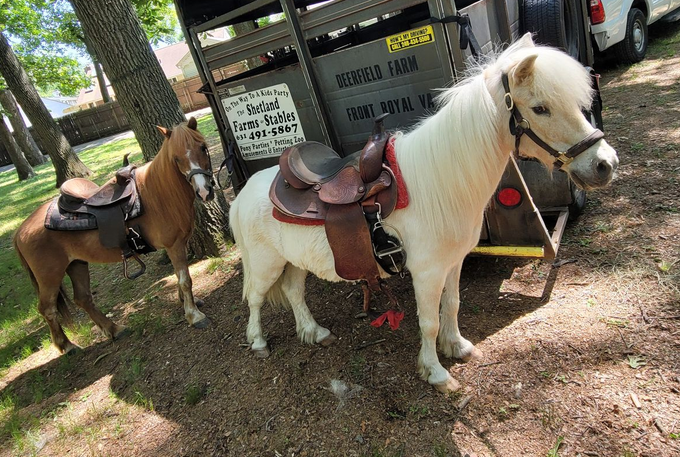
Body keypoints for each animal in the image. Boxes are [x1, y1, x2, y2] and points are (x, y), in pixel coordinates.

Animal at [13, 117, 215, 354]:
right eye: (176, 158)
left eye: (203, 148)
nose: (204, 192)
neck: (158, 195)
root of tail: (21, 230)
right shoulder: (173, 245)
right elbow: (185, 279)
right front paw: (194, 315)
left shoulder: (178, 245)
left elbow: (179, 275)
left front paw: (186, 303)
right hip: (50, 275)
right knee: (48, 308)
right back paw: (67, 345)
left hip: (77, 264)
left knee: (83, 299)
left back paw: (114, 329)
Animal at [228, 33, 619, 393]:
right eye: (540, 108)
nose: (605, 164)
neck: (439, 181)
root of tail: (242, 194)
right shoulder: (427, 272)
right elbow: (428, 321)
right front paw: (435, 372)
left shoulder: (453, 262)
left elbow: (453, 305)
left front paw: (457, 347)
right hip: (265, 264)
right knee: (255, 299)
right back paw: (258, 342)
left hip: (293, 261)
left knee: (294, 292)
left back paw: (313, 330)